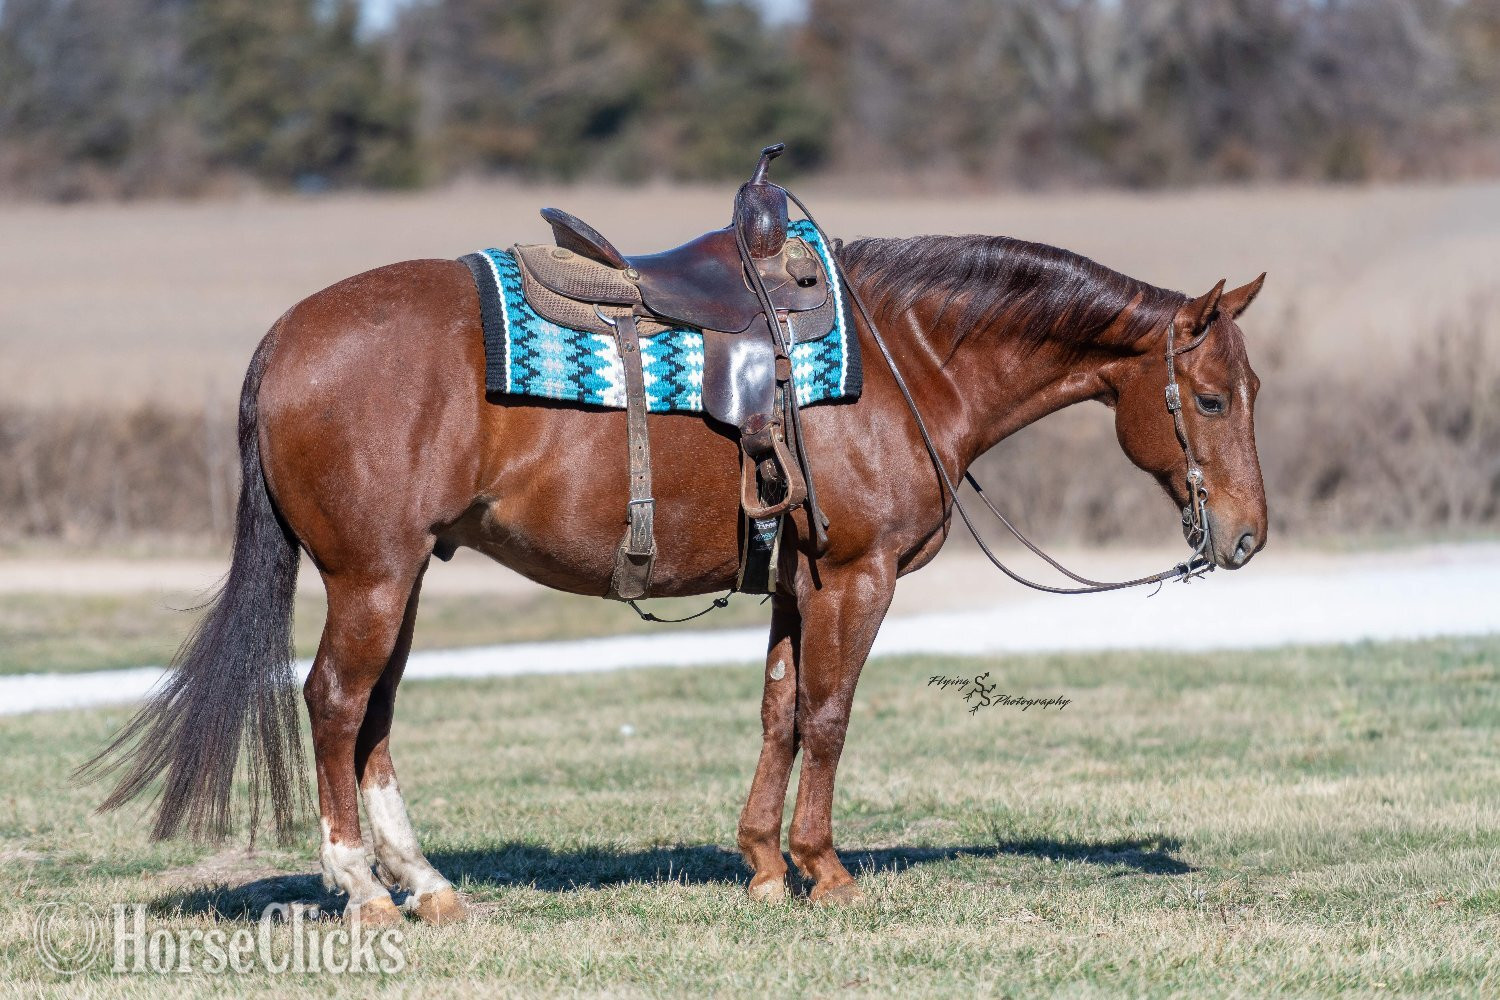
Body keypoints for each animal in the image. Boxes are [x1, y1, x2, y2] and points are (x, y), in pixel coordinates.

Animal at [83, 230, 1268, 924]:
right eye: (1211, 399)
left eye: (1247, 391)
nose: (1250, 537)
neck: (907, 360)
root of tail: (284, 338)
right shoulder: (860, 574)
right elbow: (830, 714)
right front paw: (825, 869)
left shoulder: (798, 583)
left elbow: (781, 711)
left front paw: (763, 866)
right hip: (372, 575)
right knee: (334, 701)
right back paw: (363, 889)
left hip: (402, 577)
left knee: (371, 713)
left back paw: (427, 882)